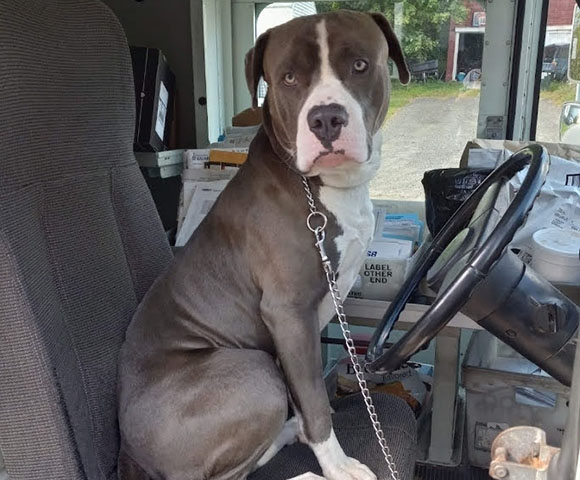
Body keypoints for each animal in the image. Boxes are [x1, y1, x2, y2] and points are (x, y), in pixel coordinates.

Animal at [116, 10, 408, 480]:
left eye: (360, 65)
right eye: (288, 77)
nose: (326, 118)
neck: (320, 186)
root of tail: (129, 451)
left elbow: (308, 393)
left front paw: (309, 432)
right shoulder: (288, 312)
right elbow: (314, 399)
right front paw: (337, 465)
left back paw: (289, 432)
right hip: (251, 369)